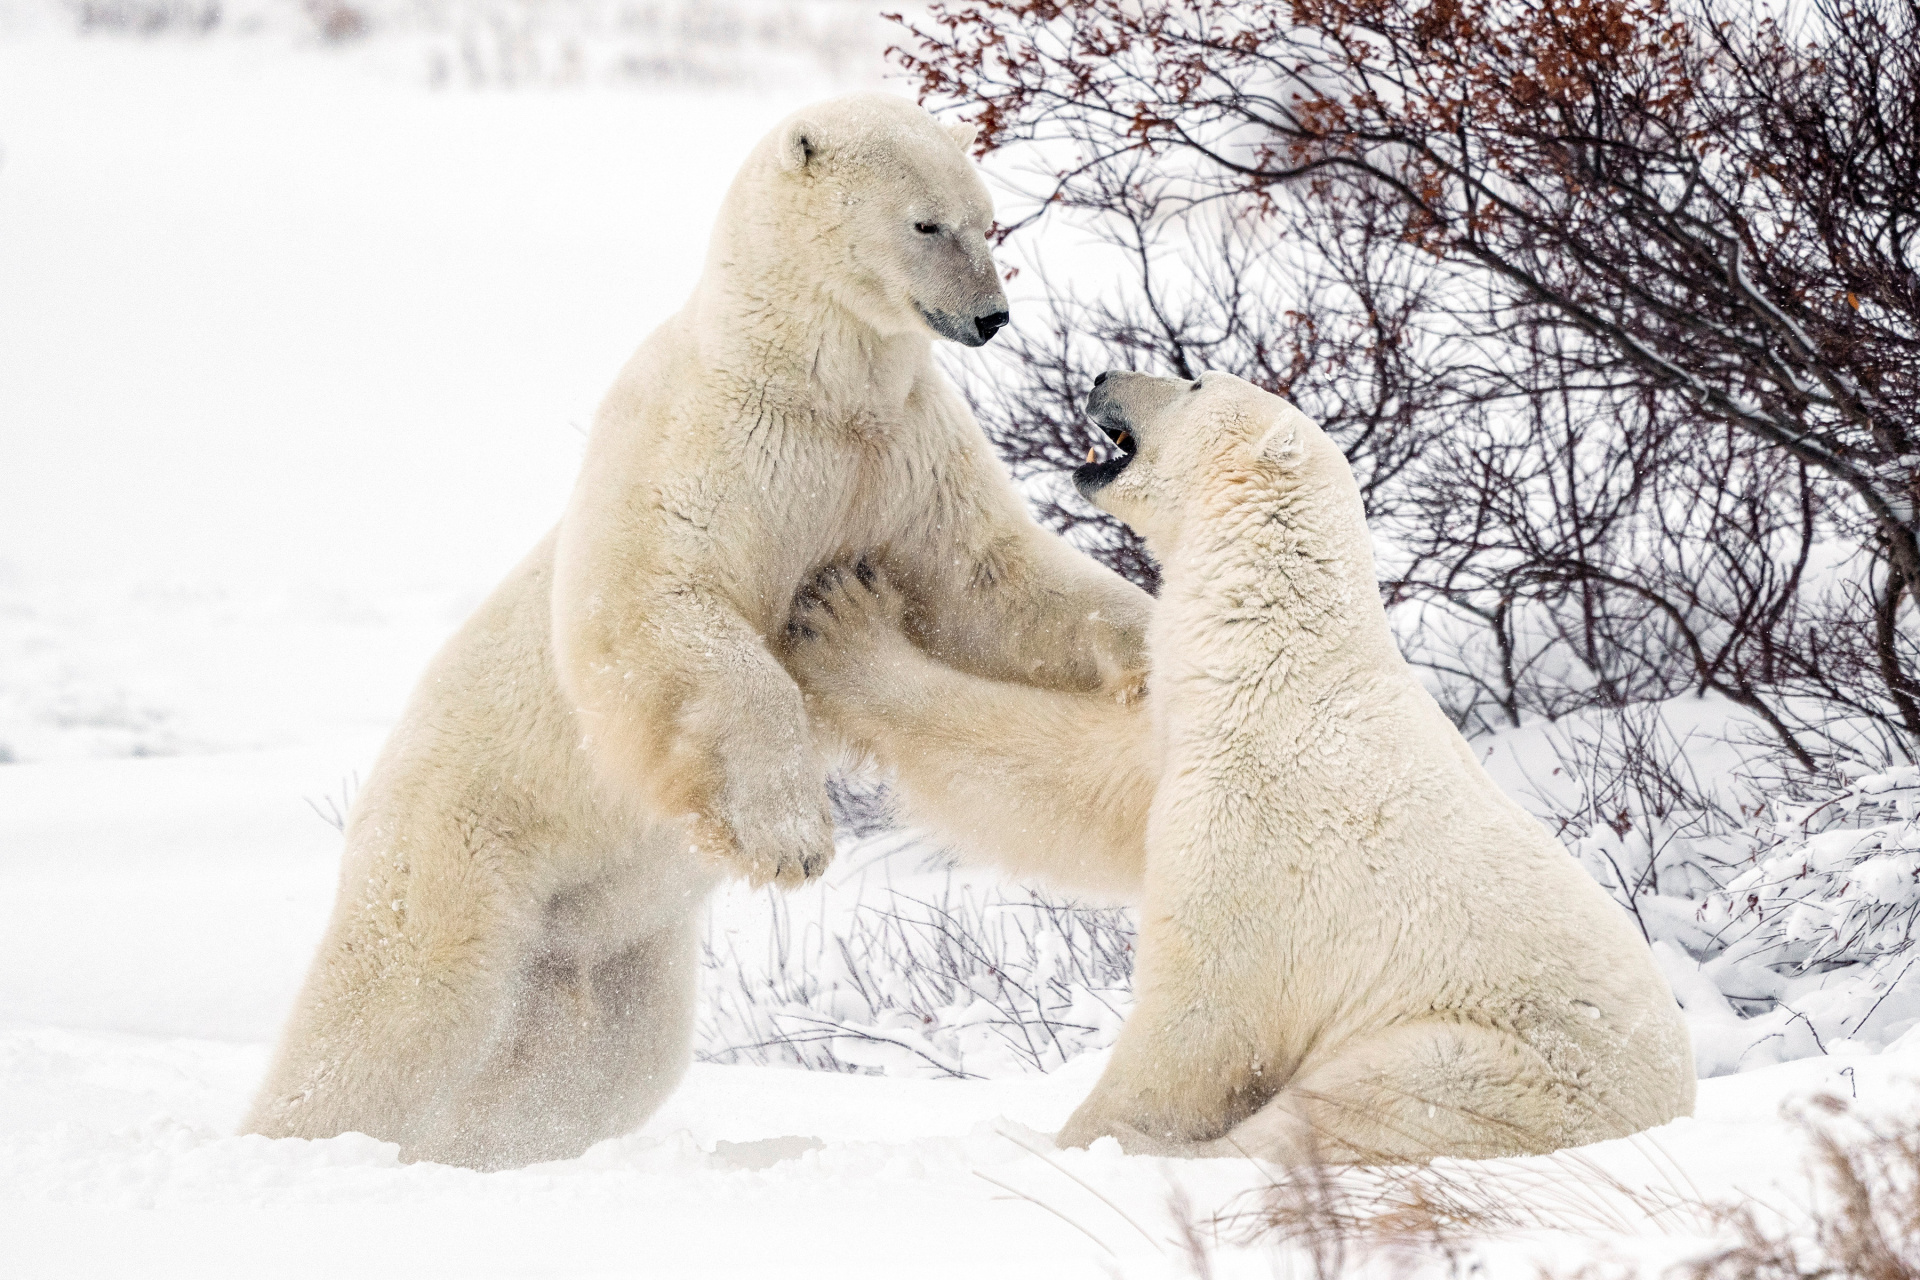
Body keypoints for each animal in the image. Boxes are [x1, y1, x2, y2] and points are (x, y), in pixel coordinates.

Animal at [242, 93, 1153, 1171]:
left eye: (989, 222)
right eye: (926, 223)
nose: (990, 317)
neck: (806, 380)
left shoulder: (903, 457)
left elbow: (988, 581)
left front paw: (1155, 645)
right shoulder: (707, 443)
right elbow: (664, 609)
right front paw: (790, 838)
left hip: (608, 937)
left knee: (597, 1066)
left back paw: (495, 1144)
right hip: (460, 842)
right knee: (397, 1005)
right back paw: (306, 1136)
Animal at [779, 369, 1696, 1164]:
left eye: (1193, 381)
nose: (1102, 375)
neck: (1278, 650)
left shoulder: (1264, 824)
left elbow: (1203, 1010)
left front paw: (1086, 1138)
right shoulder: (1187, 738)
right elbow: (1075, 779)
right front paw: (842, 622)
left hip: (1494, 1065)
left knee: (1350, 1113)